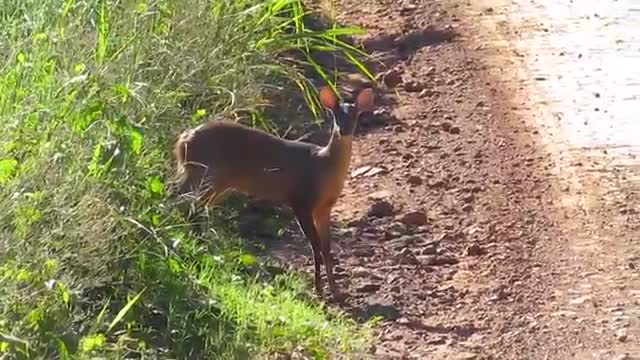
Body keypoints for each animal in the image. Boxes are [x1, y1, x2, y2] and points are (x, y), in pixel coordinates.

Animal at [172, 86, 378, 296]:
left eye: (354, 115)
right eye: (336, 115)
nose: (343, 130)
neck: (323, 165)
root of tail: (182, 141)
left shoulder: (325, 207)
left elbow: (327, 248)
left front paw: (336, 291)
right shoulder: (301, 200)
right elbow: (315, 247)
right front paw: (319, 290)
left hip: (213, 182)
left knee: (192, 205)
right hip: (205, 173)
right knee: (182, 199)